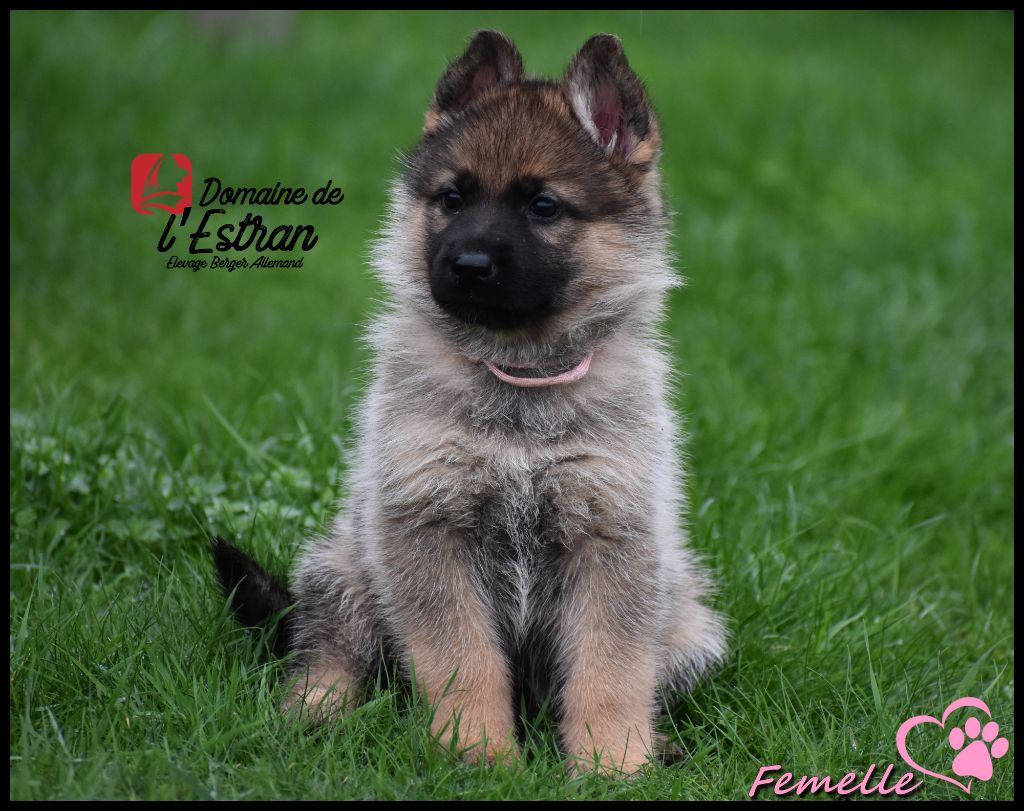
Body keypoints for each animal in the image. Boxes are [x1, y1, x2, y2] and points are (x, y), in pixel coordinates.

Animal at [214, 29, 726, 777]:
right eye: (453, 198)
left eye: (544, 206)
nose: (468, 266)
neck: (517, 378)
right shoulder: (428, 530)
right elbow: (462, 660)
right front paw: (478, 754)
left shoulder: (613, 538)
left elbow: (611, 668)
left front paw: (613, 765)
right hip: (346, 570)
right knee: (329, 652)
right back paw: (312, 718)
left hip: (691, 623)